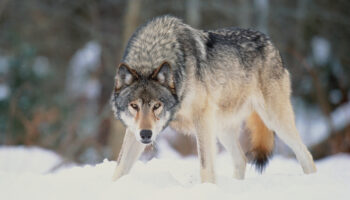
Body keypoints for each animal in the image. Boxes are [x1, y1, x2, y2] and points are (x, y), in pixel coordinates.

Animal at [110, 15, 316, 183]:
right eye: (134, 106)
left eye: (156, 106)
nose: (146, 134)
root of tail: (270, 41)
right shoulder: (134, 130)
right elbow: (119, 168)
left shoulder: (202, 118)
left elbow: (205, 166)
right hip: (222, 128)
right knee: (241, 160)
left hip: (274, 121)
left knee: (307, 156)